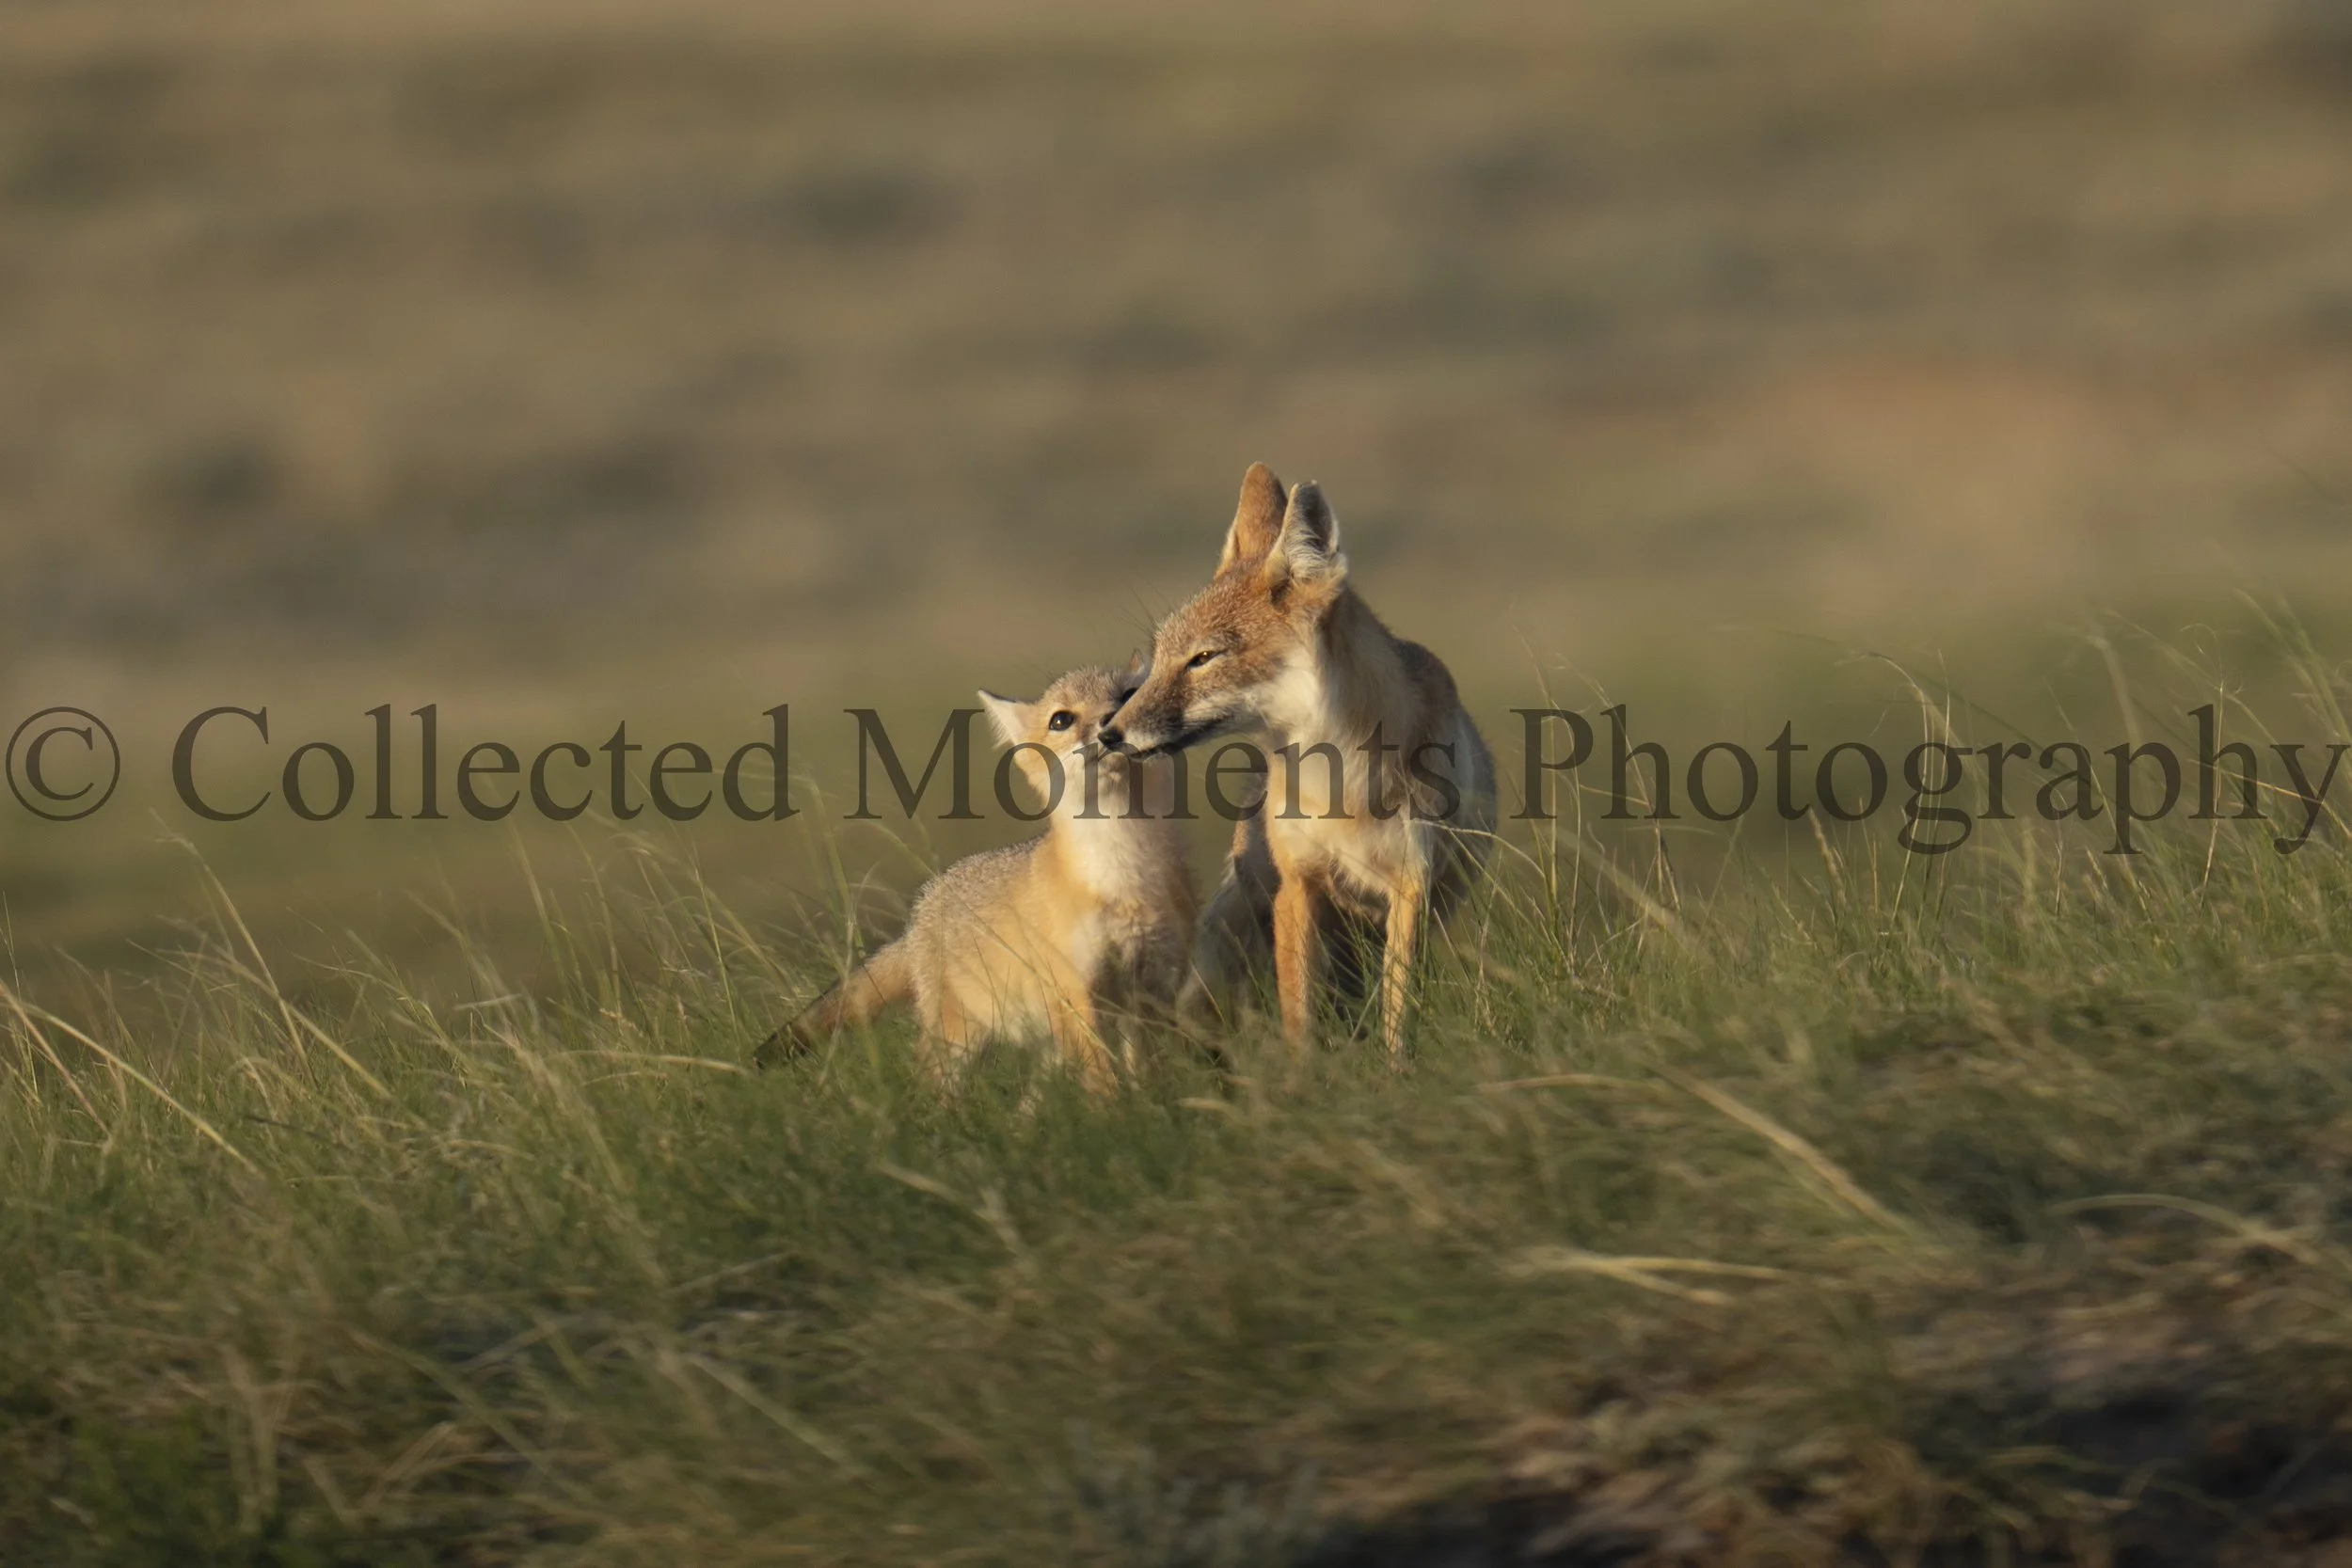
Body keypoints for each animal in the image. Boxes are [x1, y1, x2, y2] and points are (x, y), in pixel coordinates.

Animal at [754, 665, 1196, 1093]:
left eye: (1129, 695)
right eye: (1061, 720)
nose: (1109, 723)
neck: (1125, 875)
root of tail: (918, 916)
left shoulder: (1154, 986)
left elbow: (1148, 1074)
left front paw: (1151, 1108)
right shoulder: (1078, 994)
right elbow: (1104, 1082)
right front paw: (1113, 1110)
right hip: (960, 1044)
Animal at [1098, 463, 1495, 1060]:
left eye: (1203, 659)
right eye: (1162, 658)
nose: (1108, 733)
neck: (1340, 785)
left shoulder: (1411, 890)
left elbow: (1399, 1012)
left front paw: (1397, 1071)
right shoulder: (1298, 886)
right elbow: (1299, 1015)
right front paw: (1305, 1077)